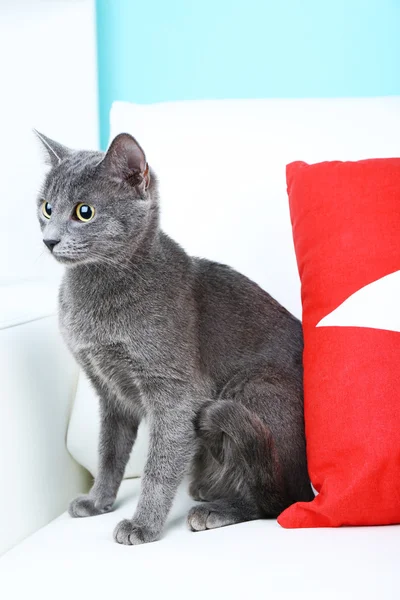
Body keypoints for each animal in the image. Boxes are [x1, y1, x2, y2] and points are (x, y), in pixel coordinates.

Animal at [36, 134, 314, 548]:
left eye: (84, 212)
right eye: (46, 207)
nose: (49, 240)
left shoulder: (176, 392)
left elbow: (159, 466)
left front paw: (143, 526)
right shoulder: (108, 391)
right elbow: (108, 453)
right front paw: (98, 501)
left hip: (253, 387)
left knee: (277, 501)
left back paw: (214, 510)